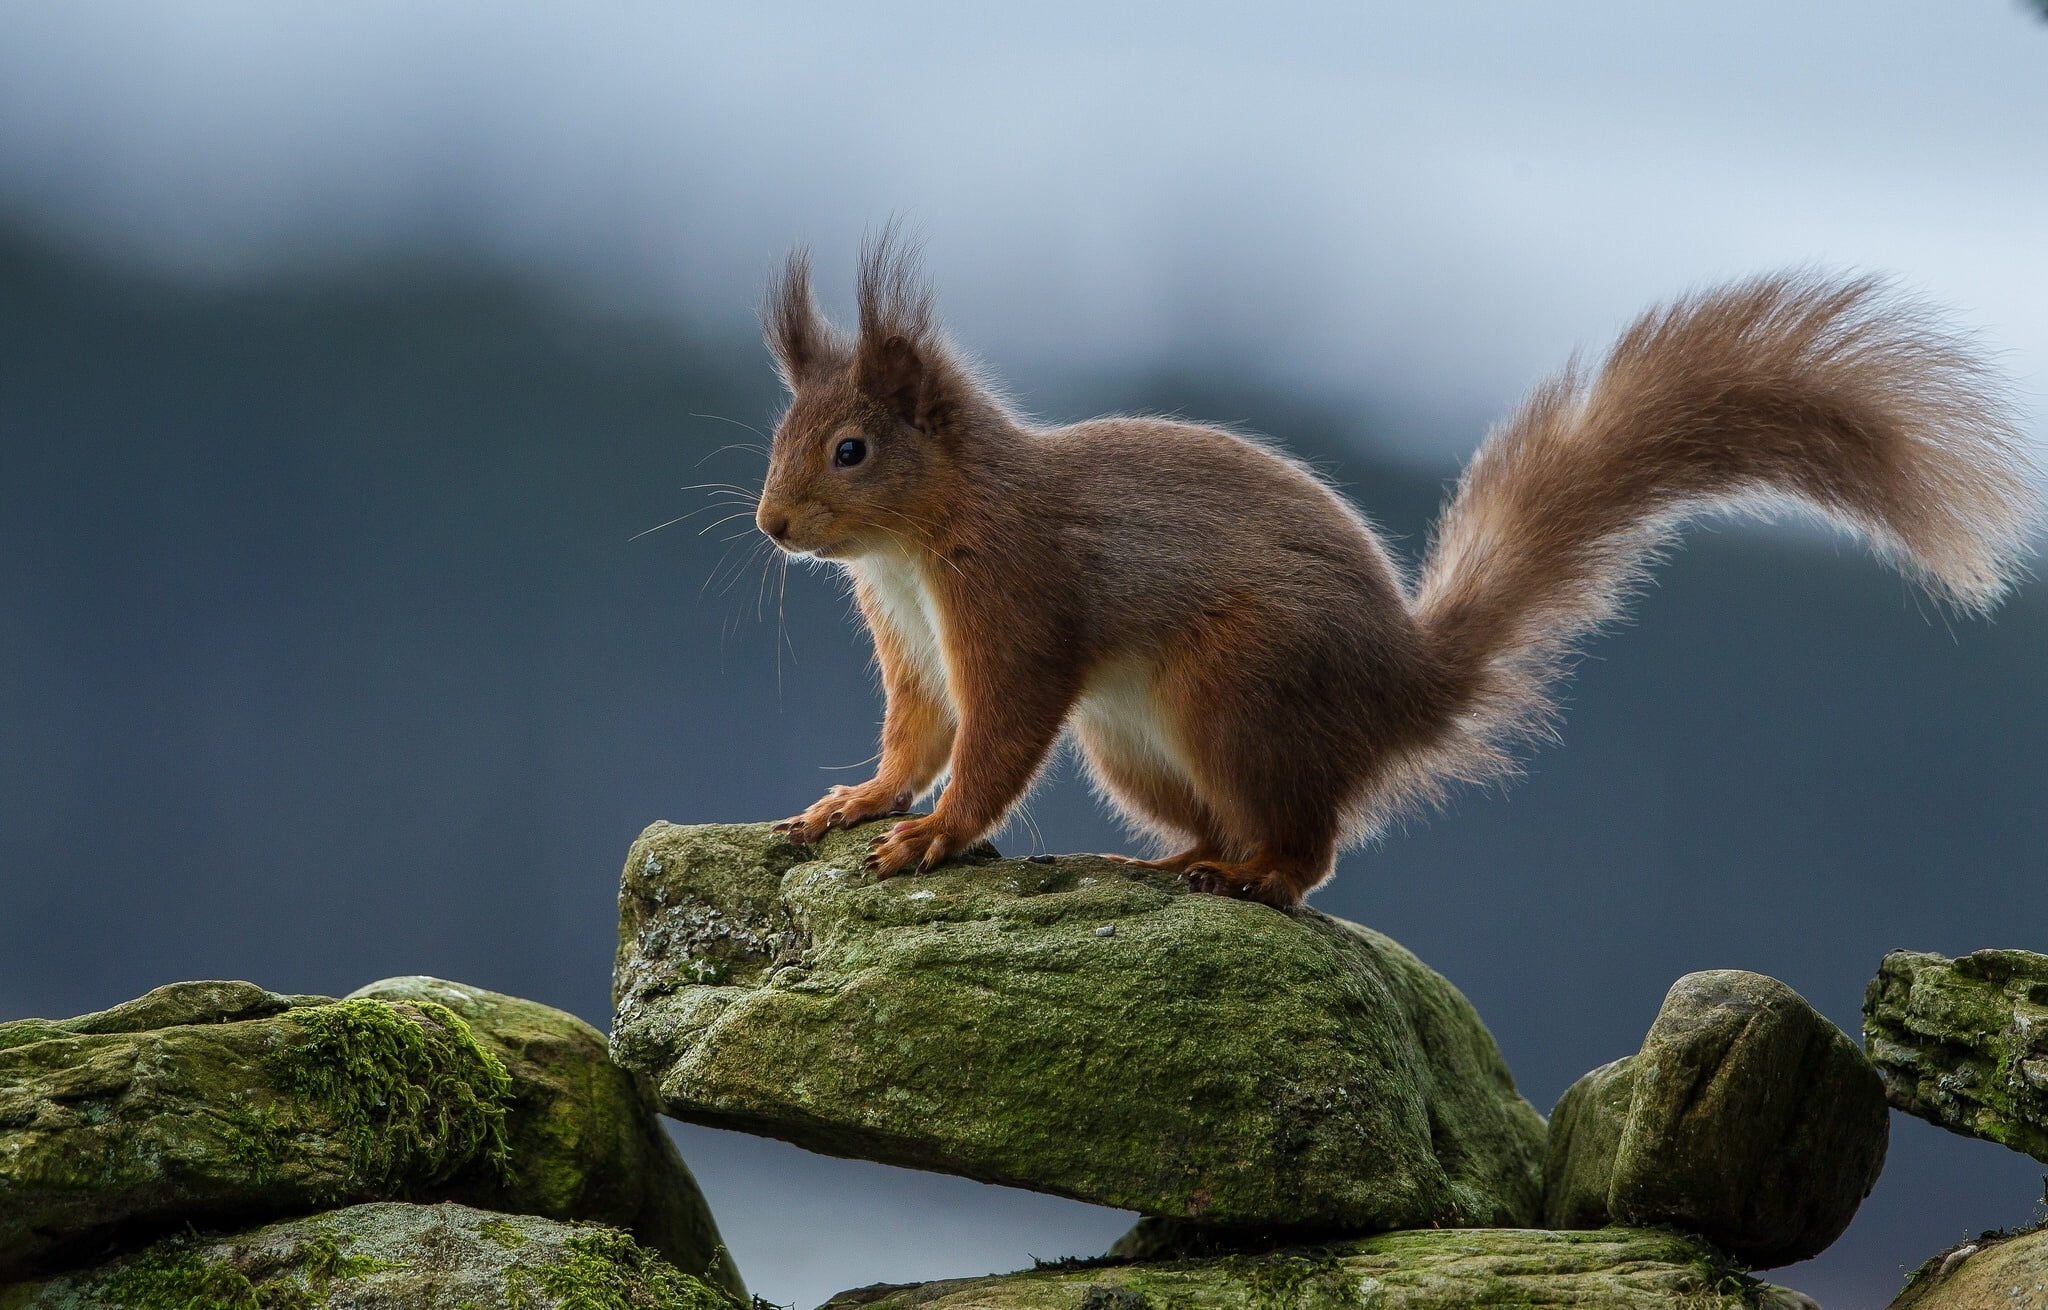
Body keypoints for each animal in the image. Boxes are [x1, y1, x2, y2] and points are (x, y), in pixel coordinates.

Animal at [753, 235, 2039, 909]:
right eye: (780, 435)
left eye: (850, 448)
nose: (772, 524)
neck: (918, 543)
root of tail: (1402, 690)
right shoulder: (913, 639)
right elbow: (917, 731)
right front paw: (861, 800)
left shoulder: (1014, 599)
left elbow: (997, 734)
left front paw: (935, 834)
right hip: (1135, 744)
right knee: (1240, 821)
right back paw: (1186, 858)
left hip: (1232, 690)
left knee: (1309, 845)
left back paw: (1253, 877)